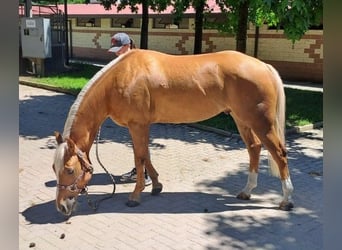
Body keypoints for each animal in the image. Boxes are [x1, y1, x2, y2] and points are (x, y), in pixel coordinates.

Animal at [52, 48, 292, 215]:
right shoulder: (142, 126)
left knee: (279, 154)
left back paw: (286, 200)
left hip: (261, 123)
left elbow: (140, 157)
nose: (62, 206)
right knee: (254, 148)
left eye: (70, 170)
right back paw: (247, 191)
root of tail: (263, 66)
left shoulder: (137, 125)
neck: (120, 77)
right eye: (54, 169)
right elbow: (146, 155)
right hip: (242, 120)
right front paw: (156, 186)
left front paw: (135, 196)